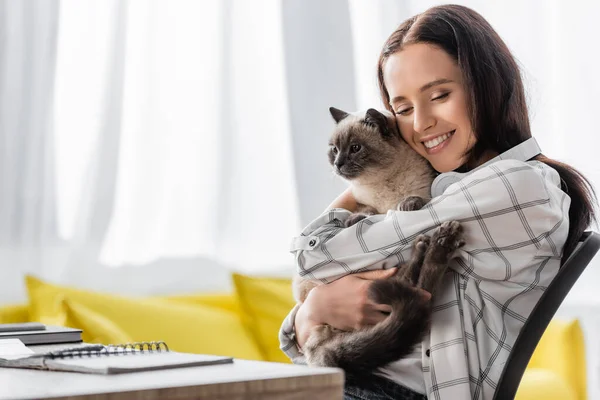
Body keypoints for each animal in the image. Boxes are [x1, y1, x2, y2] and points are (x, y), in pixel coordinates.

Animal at [292, 105, 466, 376]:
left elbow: (416, 199)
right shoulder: (363, 203)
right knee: (416, 292)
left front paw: (408, 204)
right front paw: (357, 219)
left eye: (355, 148)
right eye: (334, 149)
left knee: (417, 292)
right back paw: (434, 245)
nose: (338, 164)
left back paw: (436, 243)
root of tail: (319, 354)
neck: (383, 184)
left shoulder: (423, 191)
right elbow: (366, 212)